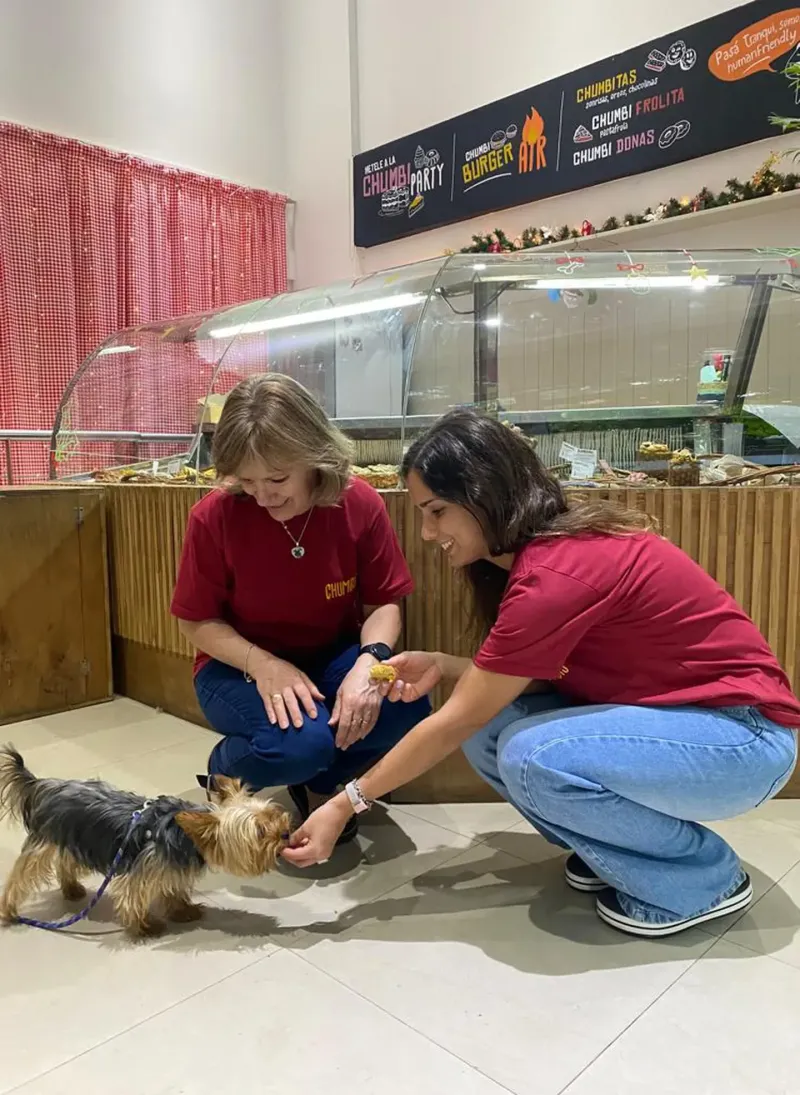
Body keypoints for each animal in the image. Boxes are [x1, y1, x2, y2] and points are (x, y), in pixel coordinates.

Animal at [0, 748, 293, 937]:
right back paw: (8, 911)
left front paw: (183, 911)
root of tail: (45, 785)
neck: (185, 838)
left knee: (65, 860)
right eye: (260, 832)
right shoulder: (142, 871)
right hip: (44, 842)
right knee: (21, 876)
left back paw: (71, 888)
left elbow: (174, 890)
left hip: (76, 838)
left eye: (274, 814)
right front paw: (146, 927)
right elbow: (133, 898)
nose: (285, 833)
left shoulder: (171, 869)